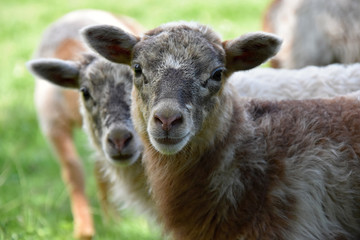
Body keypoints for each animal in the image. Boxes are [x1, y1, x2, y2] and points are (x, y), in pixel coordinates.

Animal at [27, 8, 144, 238]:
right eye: (85, 91)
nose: (119, 140)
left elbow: (101, 170)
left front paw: (112, 221)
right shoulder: (53, 125)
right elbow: (73, 170)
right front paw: (83, 230)